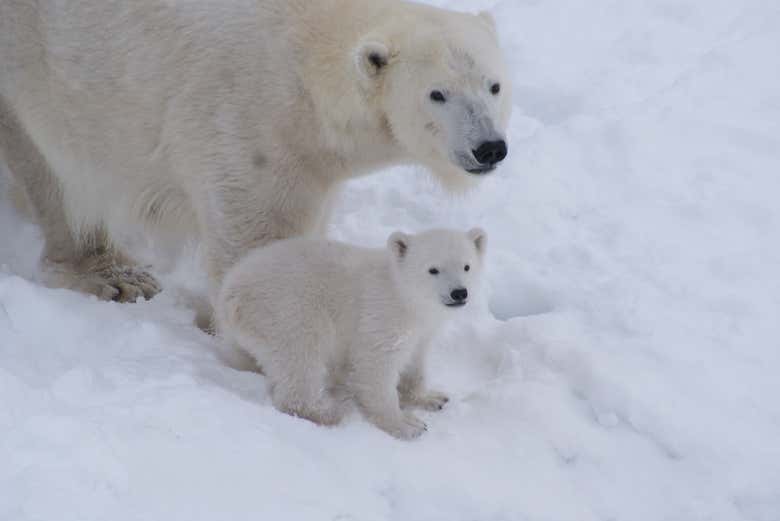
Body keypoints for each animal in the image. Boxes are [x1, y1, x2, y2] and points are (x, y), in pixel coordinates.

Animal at [0, 0, 512, 302]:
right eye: (437, 94)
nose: (489, 148)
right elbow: (259, 245)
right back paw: (112, 273)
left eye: (494, 85)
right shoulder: (249, 126)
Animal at [216, 230, 484, 436]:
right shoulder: (380, 315)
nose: (459, 293)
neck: (404, 295)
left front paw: (431, 398)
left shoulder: (422, 328)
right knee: (301, 359)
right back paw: (328, 412)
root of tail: (231, 293)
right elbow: (376, 366)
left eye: (467, 266)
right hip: (289, 310)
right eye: (433, 269)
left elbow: (415, 360)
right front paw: (406, 424)